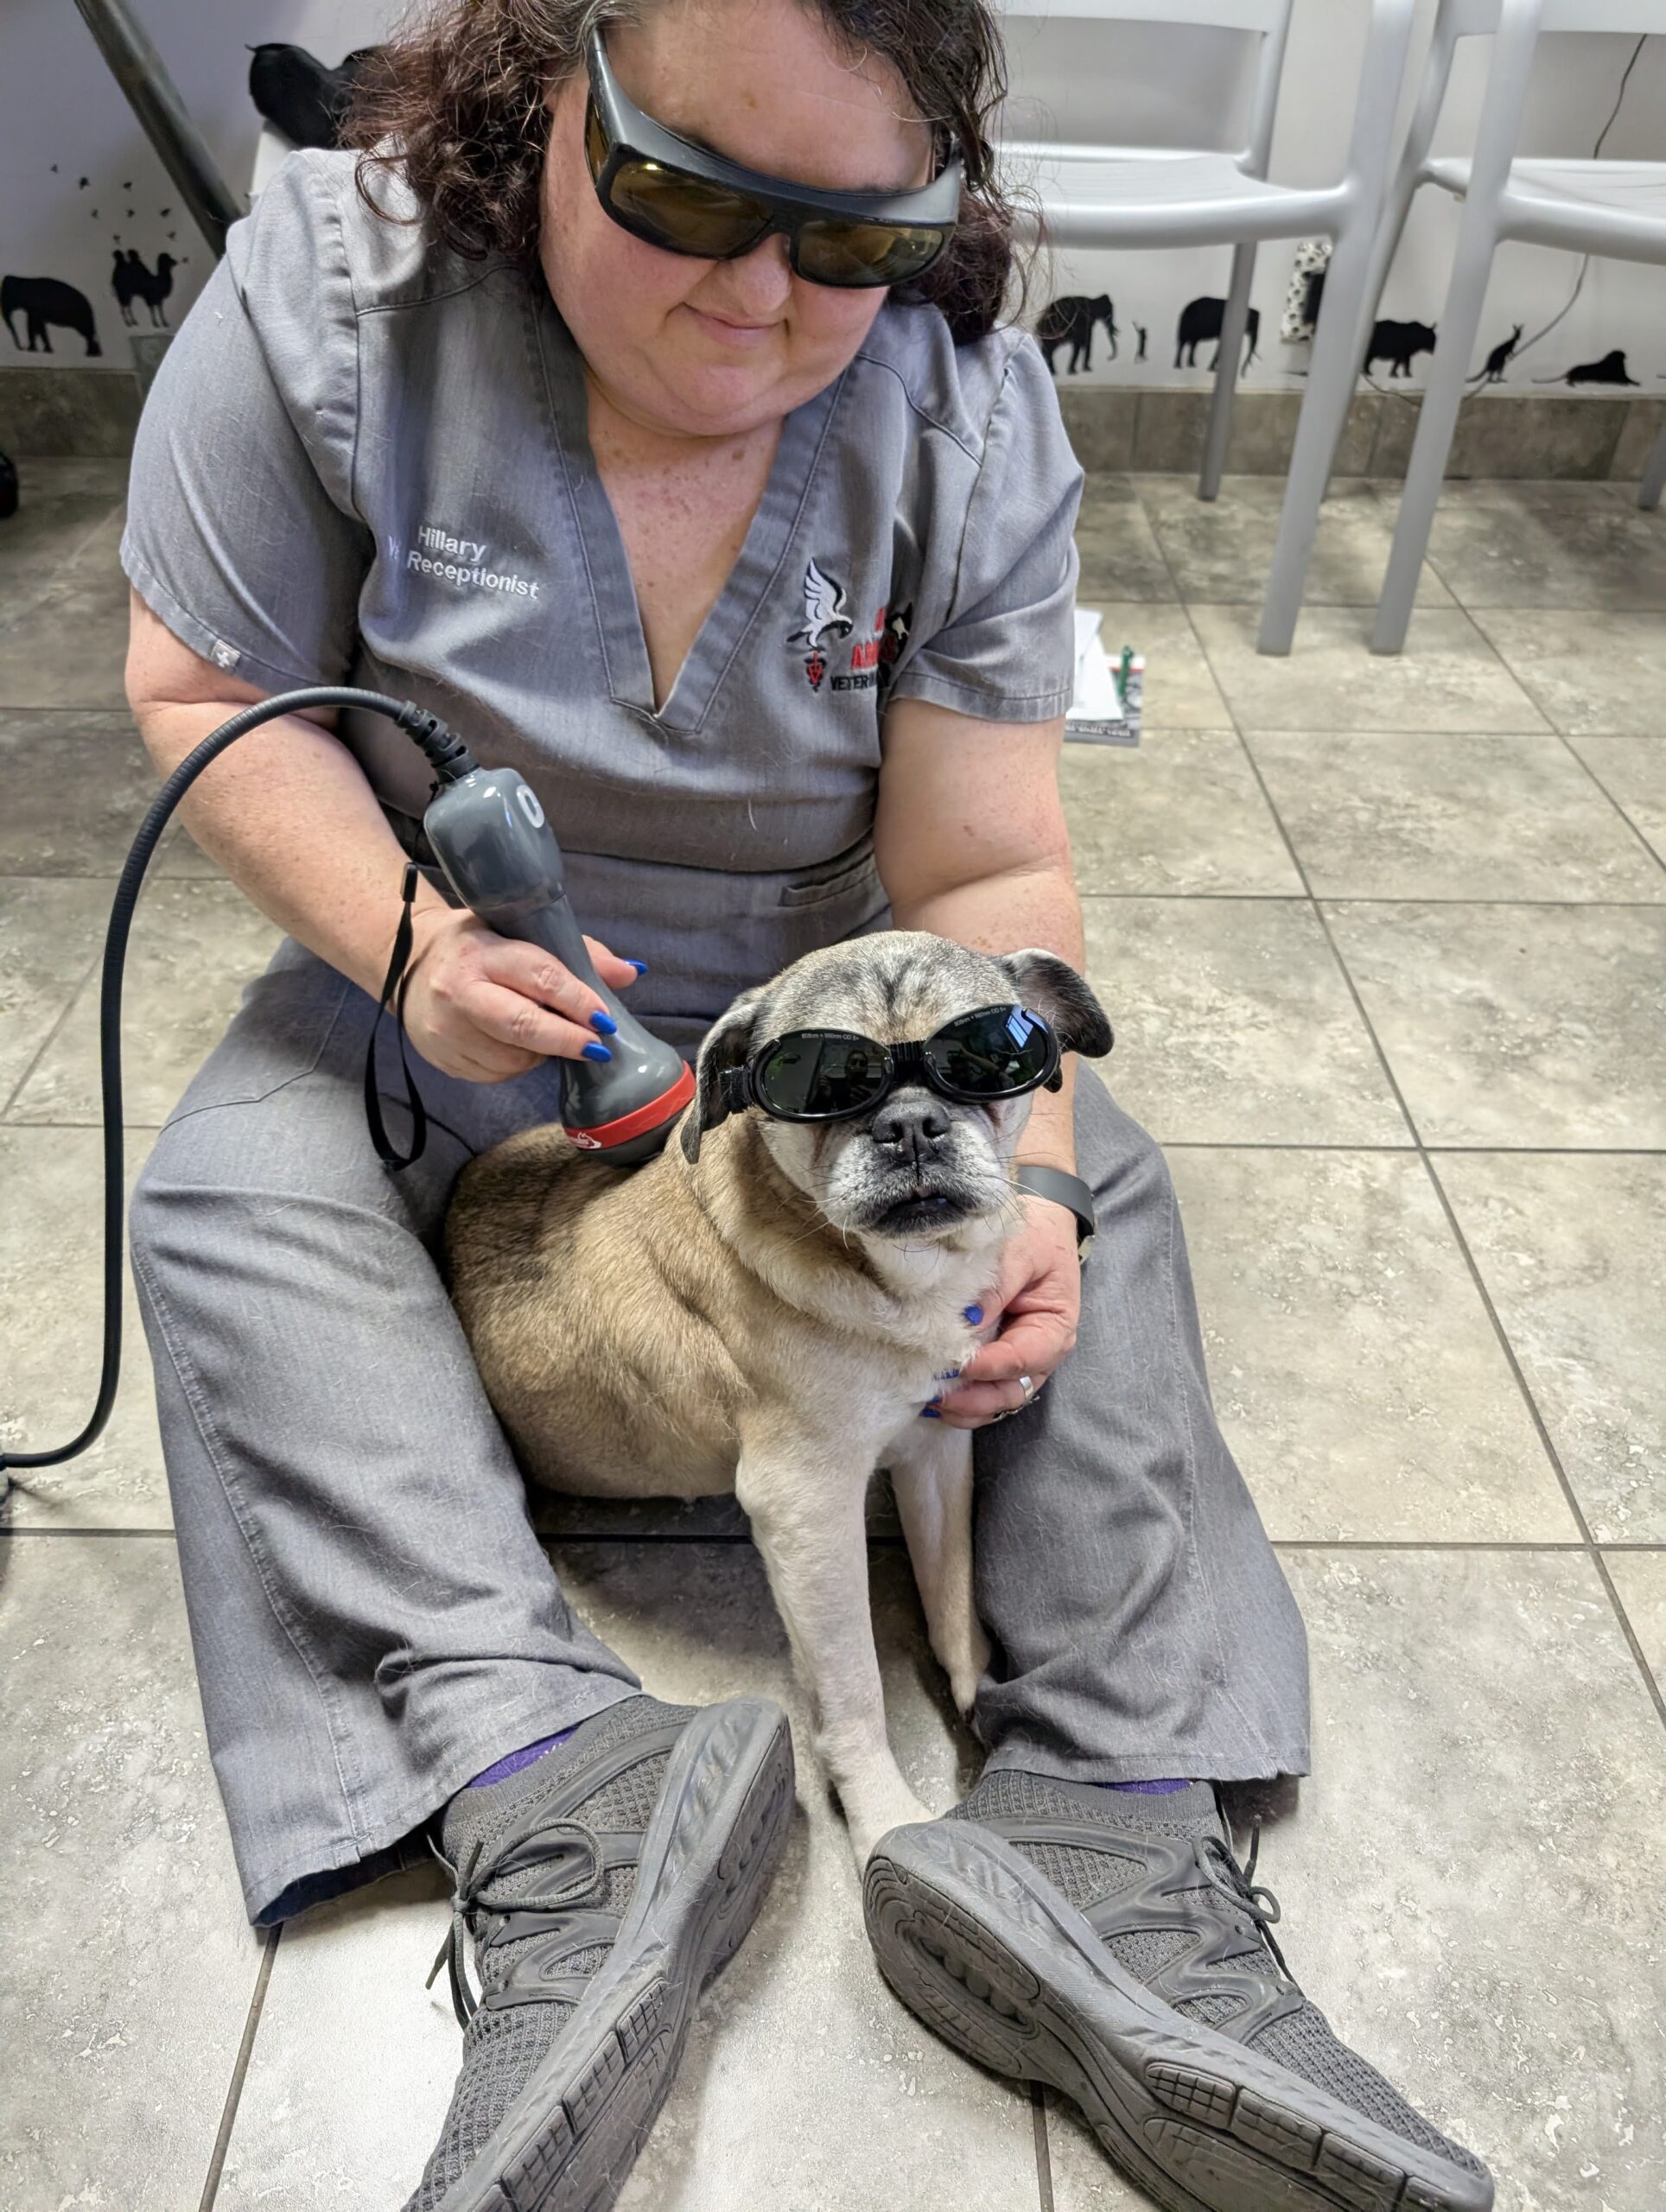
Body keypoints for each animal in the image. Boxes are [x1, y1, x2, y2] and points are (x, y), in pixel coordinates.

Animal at [448, 925, 1110, 1858]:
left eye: (986, 1059)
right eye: (820, 1082)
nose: (909, 1124)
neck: (890, 1273)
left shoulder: (935, 1453)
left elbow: (951, 1600)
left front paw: (976, 1695)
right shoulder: (807, 1509)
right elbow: (853, 1685)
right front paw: (881, 1815)